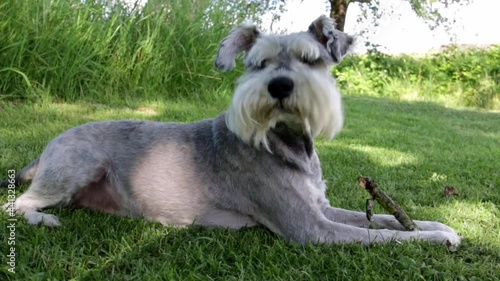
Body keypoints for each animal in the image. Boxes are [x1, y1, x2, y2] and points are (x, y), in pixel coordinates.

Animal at [1, 16, 460, 246]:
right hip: (76, 168)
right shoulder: (311, 229)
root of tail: (49, 146)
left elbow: (382, 217)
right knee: (17, 203)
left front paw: (438, 226)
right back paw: (42, 220)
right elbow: (386, 237)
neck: (286, 144)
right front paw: (437, 239)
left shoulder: (321, 209)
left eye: (310, 59)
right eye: (258, 63)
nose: (279, 86)